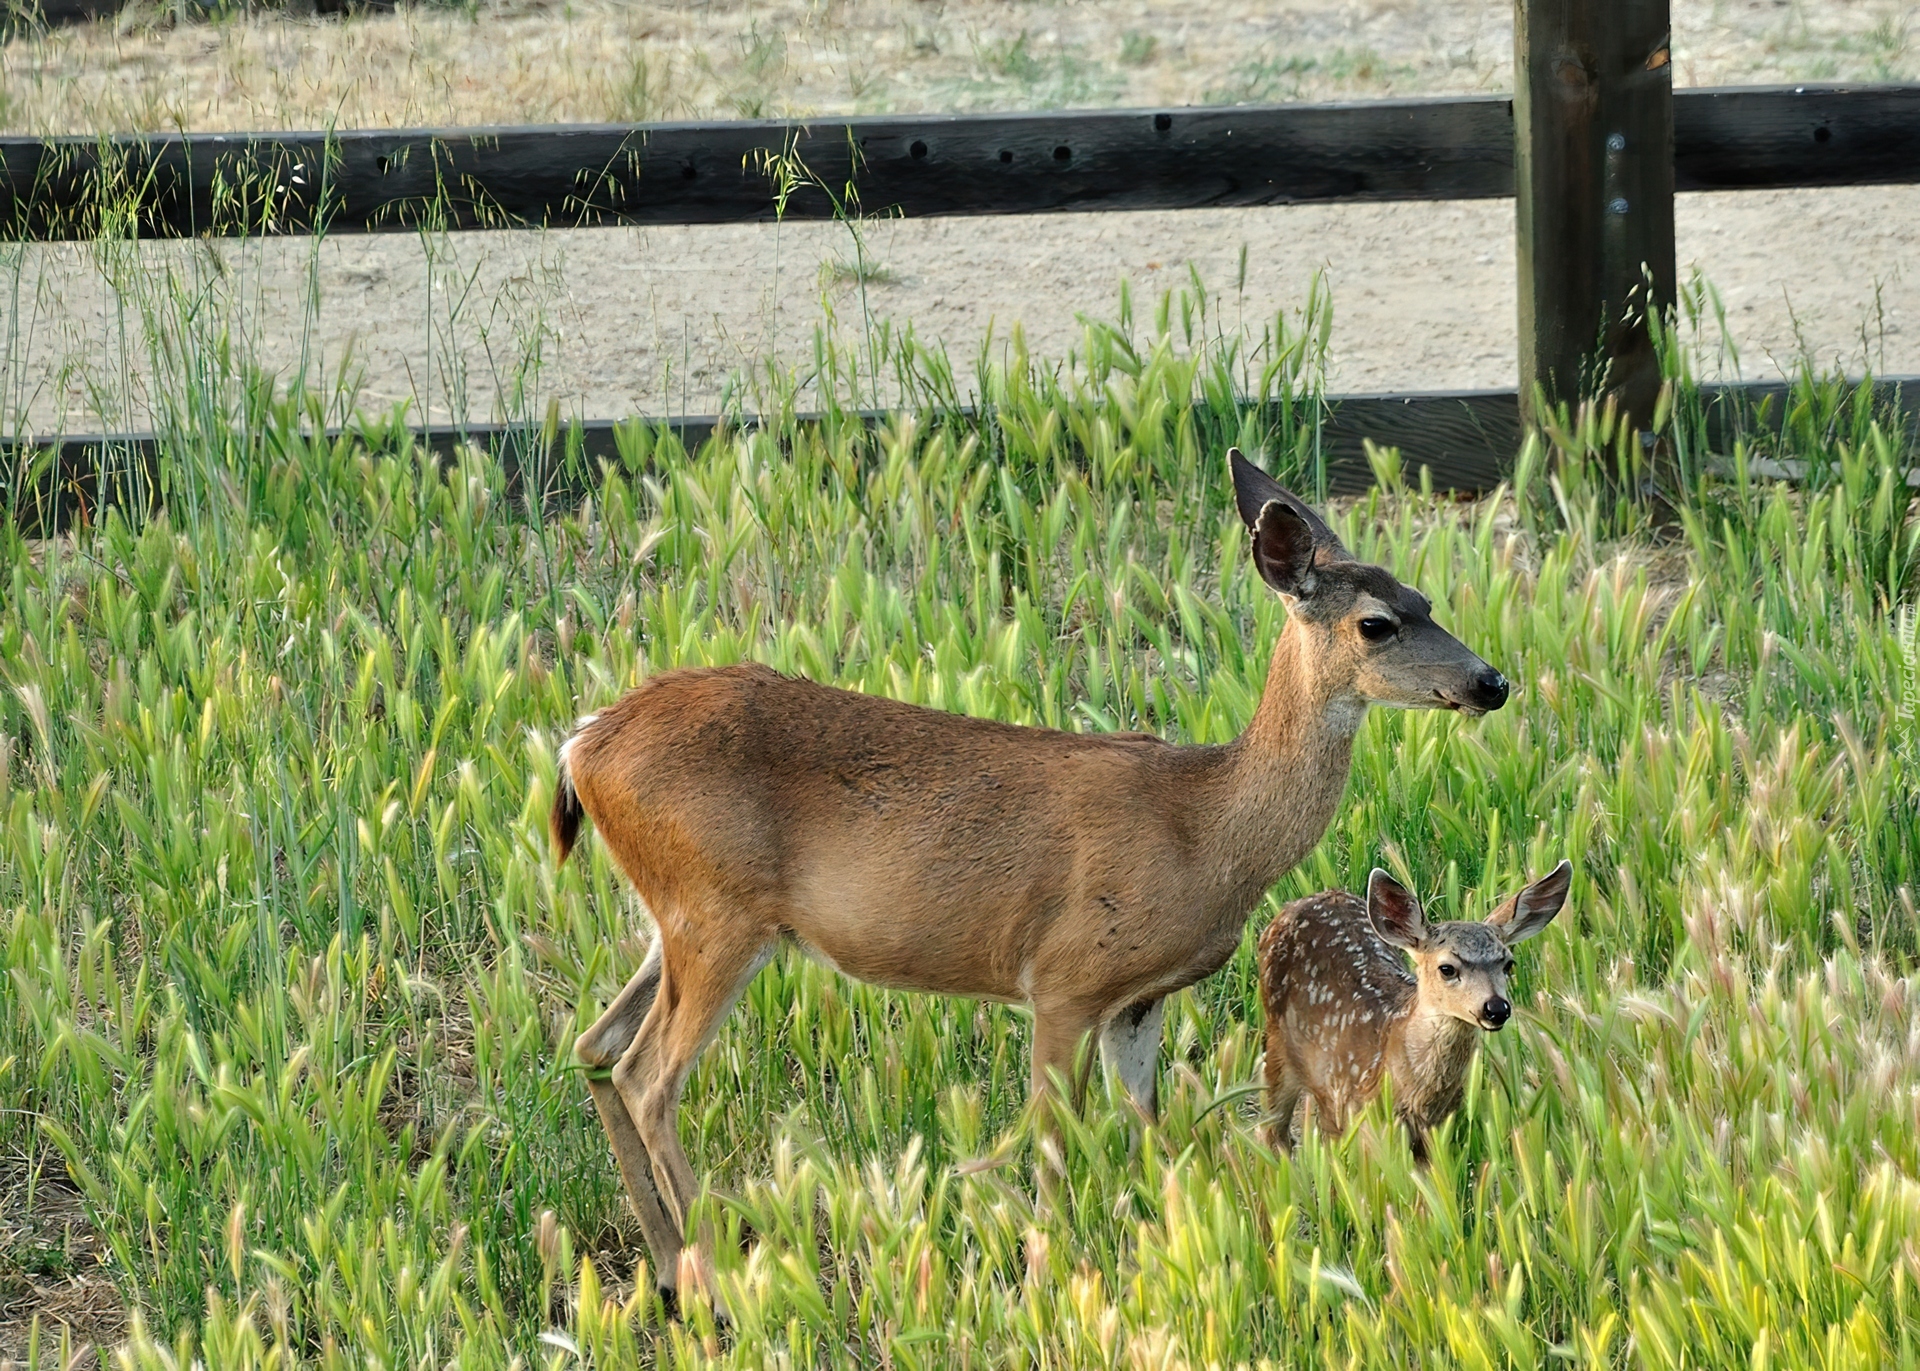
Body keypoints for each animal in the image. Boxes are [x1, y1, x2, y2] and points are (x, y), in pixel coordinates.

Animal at [549, 449, 1505, 1305]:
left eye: (1427, 599)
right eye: (1377, 622)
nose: (1491, 681)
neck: (1205, 827)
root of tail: (581, 744)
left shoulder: (1138, 999)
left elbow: (1147, 1131)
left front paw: (1178, 1246)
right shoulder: (1065, 977)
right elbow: (1053, 1142)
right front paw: (1054, 1276)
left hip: (678, 914)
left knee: (594, 1044)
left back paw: (668, 1275)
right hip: (719, 915)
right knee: (647, 1075)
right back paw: (718, 1289)